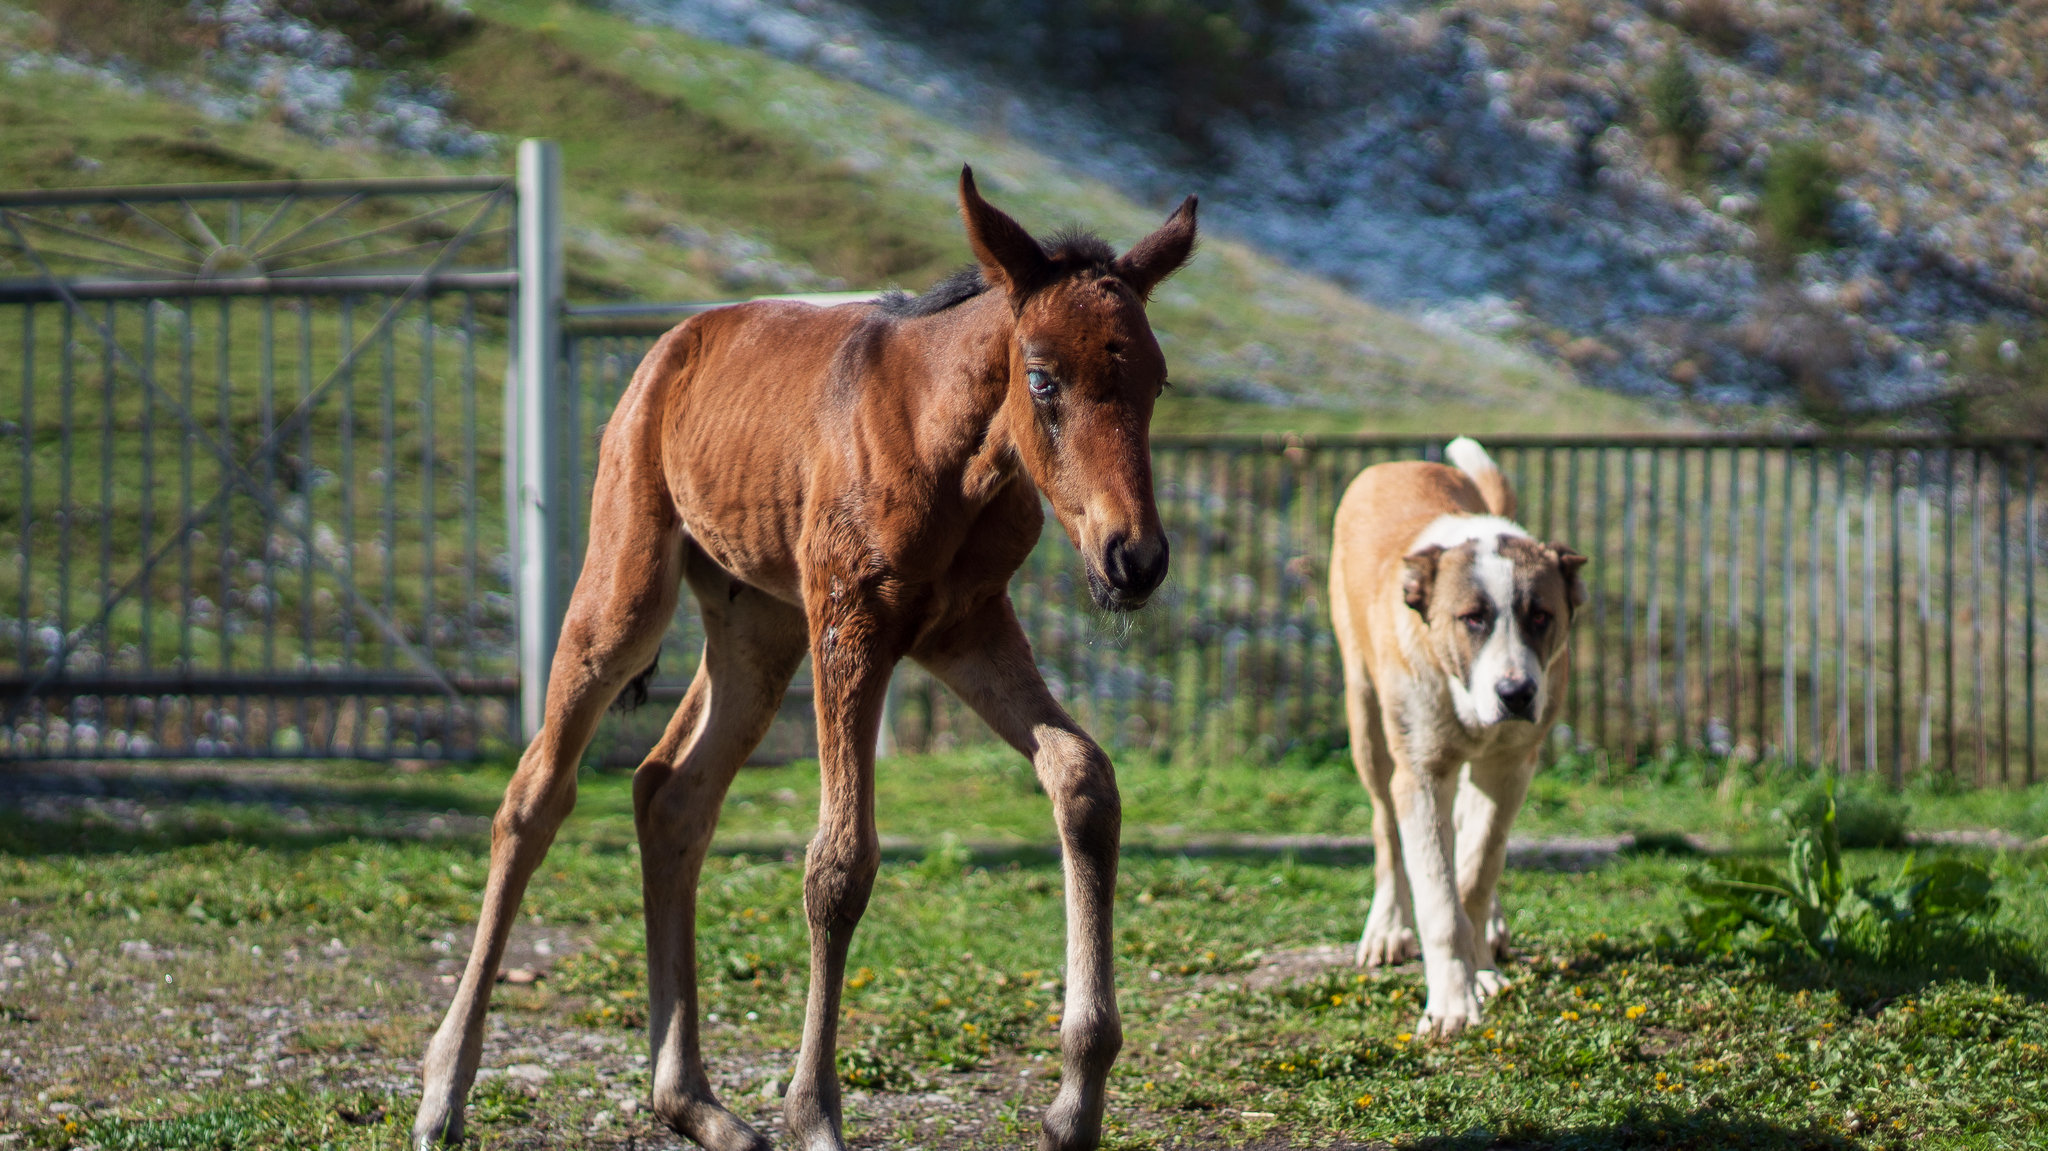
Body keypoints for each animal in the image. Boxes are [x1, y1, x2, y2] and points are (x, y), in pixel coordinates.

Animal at [407, 167, 1196, 1146]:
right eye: (1044, 379)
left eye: (1157, 382)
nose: (1136, 559)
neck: (949, 447)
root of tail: (674, 344)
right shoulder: (852, 620)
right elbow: (840, 861)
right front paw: (814, 1113)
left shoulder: (964, 625)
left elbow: (1082, 775)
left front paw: (1074, 1102)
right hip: (629, 585)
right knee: (535, 796)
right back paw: (444, 1089)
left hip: (758, 627)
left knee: (671, 794)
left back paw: (692, 1102)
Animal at [1327, 436, 1581, 1032]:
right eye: (1472, 619)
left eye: (1541, 616)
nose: (1516, 693)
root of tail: (1395, 464)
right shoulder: (1420, 774)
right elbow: (1438, 897)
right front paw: (1452, 1004)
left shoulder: (1509, 767)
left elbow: (1477, 870)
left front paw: (1480, 969)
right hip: (1367, 720)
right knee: (1385, 829)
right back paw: (1387, 928)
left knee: (1471, 832)